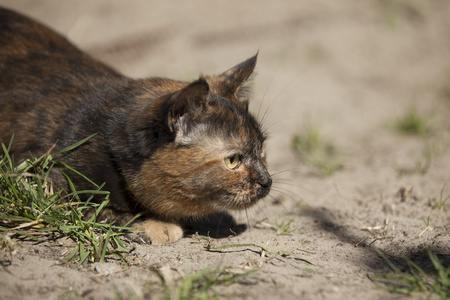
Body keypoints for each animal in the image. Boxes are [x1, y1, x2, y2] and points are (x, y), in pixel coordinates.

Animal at [0, 8, 270, 245]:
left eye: (262, 150)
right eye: (233, 160)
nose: (266, 181)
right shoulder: (31, 175)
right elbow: (93, 206)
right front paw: (154, 225)